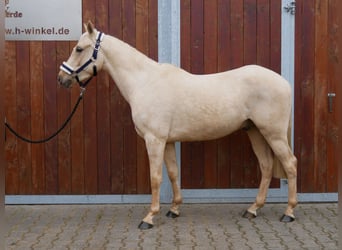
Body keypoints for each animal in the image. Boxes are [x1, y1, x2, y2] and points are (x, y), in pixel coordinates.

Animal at [57, 22, 298, 229]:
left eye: (79, 49)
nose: (61, 78)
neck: (145, 82)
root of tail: (283, 82)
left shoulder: (154, 140)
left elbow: (155, 178)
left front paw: (149, 217)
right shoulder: (169, 141)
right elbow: (173, 173)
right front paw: (174, 209)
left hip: (273, 134)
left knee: (290, 164)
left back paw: (289, 213)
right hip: (255, 132)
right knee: (266, 166)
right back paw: (253, 209)